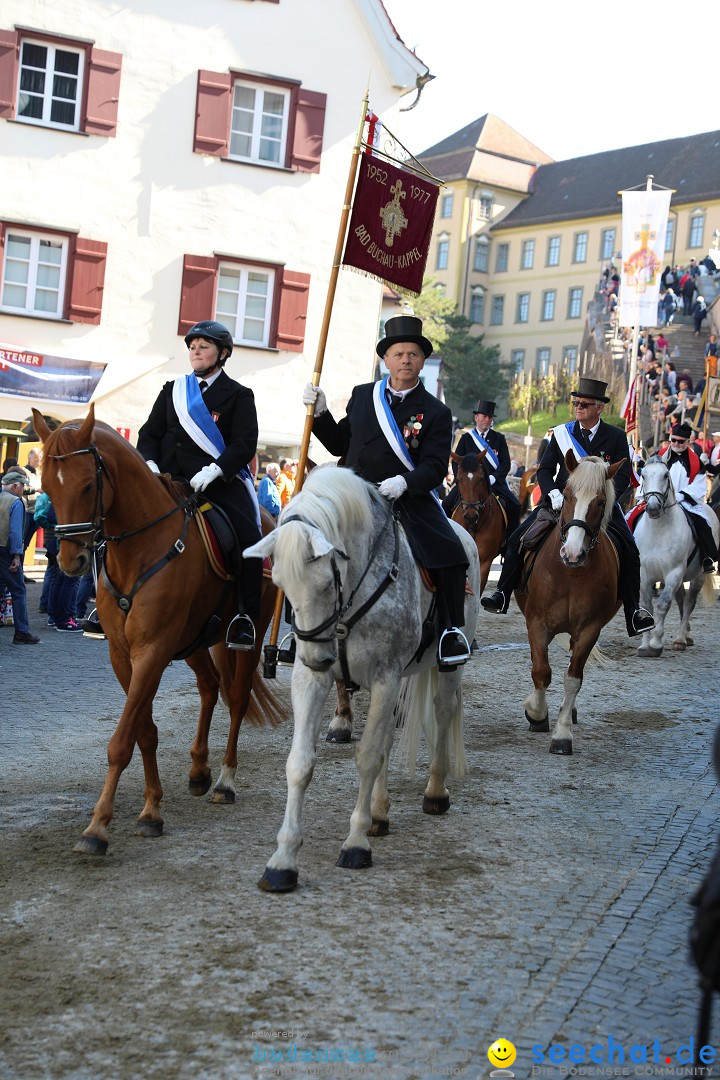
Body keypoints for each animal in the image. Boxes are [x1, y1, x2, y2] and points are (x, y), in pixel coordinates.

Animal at [33, 408, 284, 855]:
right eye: (45, 485)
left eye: (87, 484)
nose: (70, 560)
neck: (137, 550)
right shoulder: (123, 654)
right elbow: (144, 732)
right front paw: (151, 810)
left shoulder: (151, 650)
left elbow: (122, 741)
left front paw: (97, 827)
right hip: (195, 641)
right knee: (209, 686)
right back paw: (199, 769)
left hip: (244, 640)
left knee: (236, 698)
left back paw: (224, 781)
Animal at [515, 451, 621, 756]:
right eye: (567, 494)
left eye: (600, 502)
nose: (572, 553)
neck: (571, 573)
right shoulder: (537, 623)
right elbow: (541, 671)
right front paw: (536, 713)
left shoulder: (589, 629)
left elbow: (573, 678)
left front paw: (562, 735)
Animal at [634, 451, 716, 652]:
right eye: (643, 476)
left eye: (665, 475)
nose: (653, 508)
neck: (658, 531)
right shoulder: (643, 574)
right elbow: (647, 607)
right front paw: (645, 644)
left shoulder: (673, 572)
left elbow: (663, 604)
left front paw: (656, 642)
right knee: (680, 599)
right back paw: (686, 634)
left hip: (697, 576)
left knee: (688, 603)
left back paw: (681, 638)